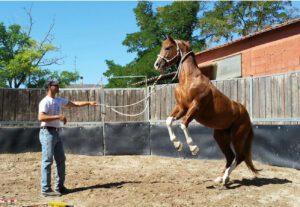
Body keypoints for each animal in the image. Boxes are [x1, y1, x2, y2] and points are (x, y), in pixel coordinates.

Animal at [155, 36, 260, 184]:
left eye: (168, 47)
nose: (157, 64)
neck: (189, 79)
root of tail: (246, 115)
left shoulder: (195, 107)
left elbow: (183, 124)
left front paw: (194, 148)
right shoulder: (181, 107)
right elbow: (169, 121)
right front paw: (177, 145)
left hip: (238, 137)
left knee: (239, 157)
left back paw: (225, 178)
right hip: (221, 137)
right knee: (230, 156)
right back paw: (221, 178)